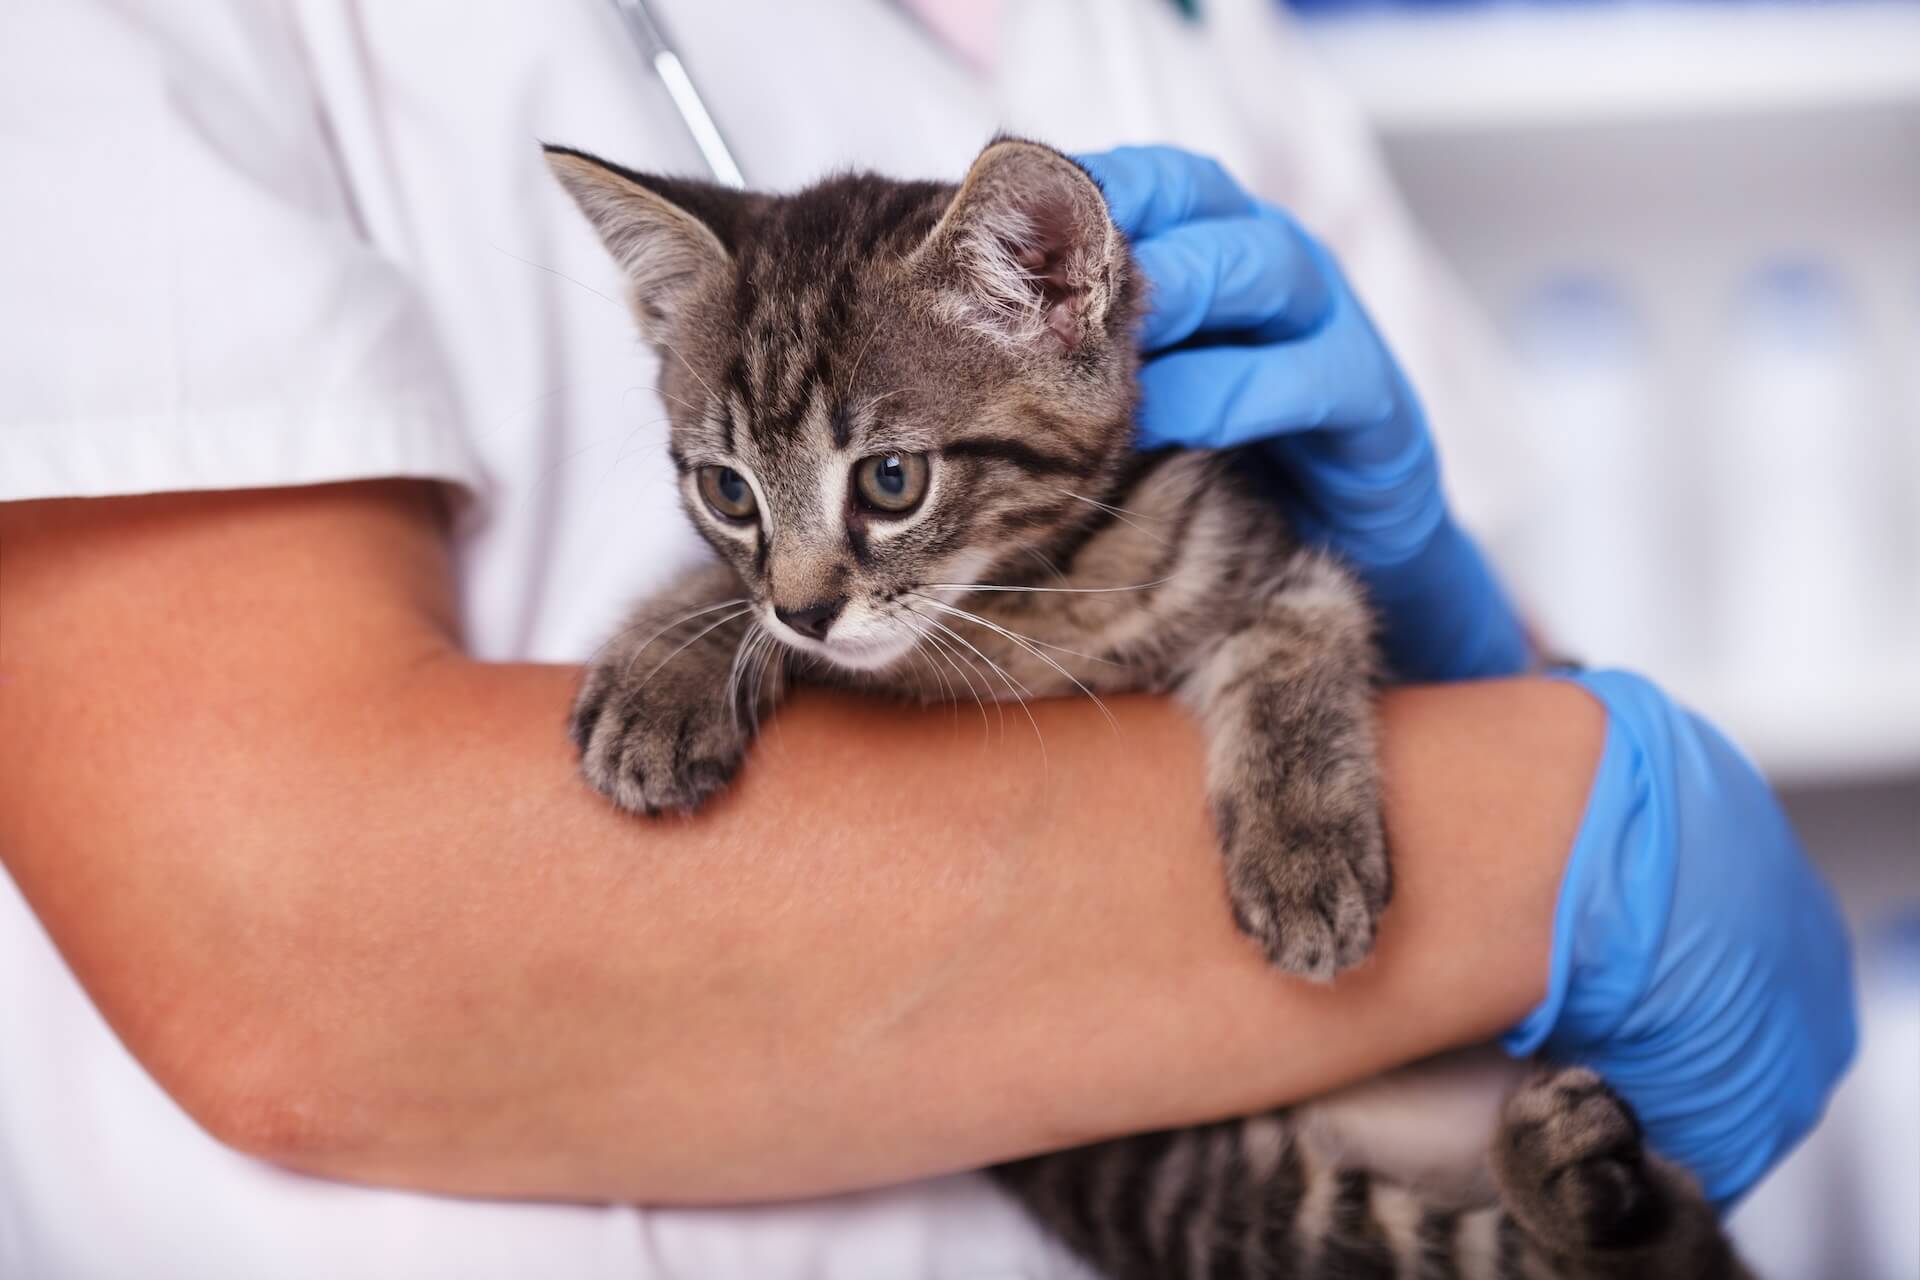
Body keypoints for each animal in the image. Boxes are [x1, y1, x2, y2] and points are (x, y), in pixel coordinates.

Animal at [549, 140, 1751, 1280]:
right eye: (728, 491)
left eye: (891, 480)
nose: (802, 610)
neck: (1018, 595)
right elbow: (725, 599)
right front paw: (668, 669)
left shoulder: (1278, 566)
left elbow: (1297, 650)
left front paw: (1304, 855)